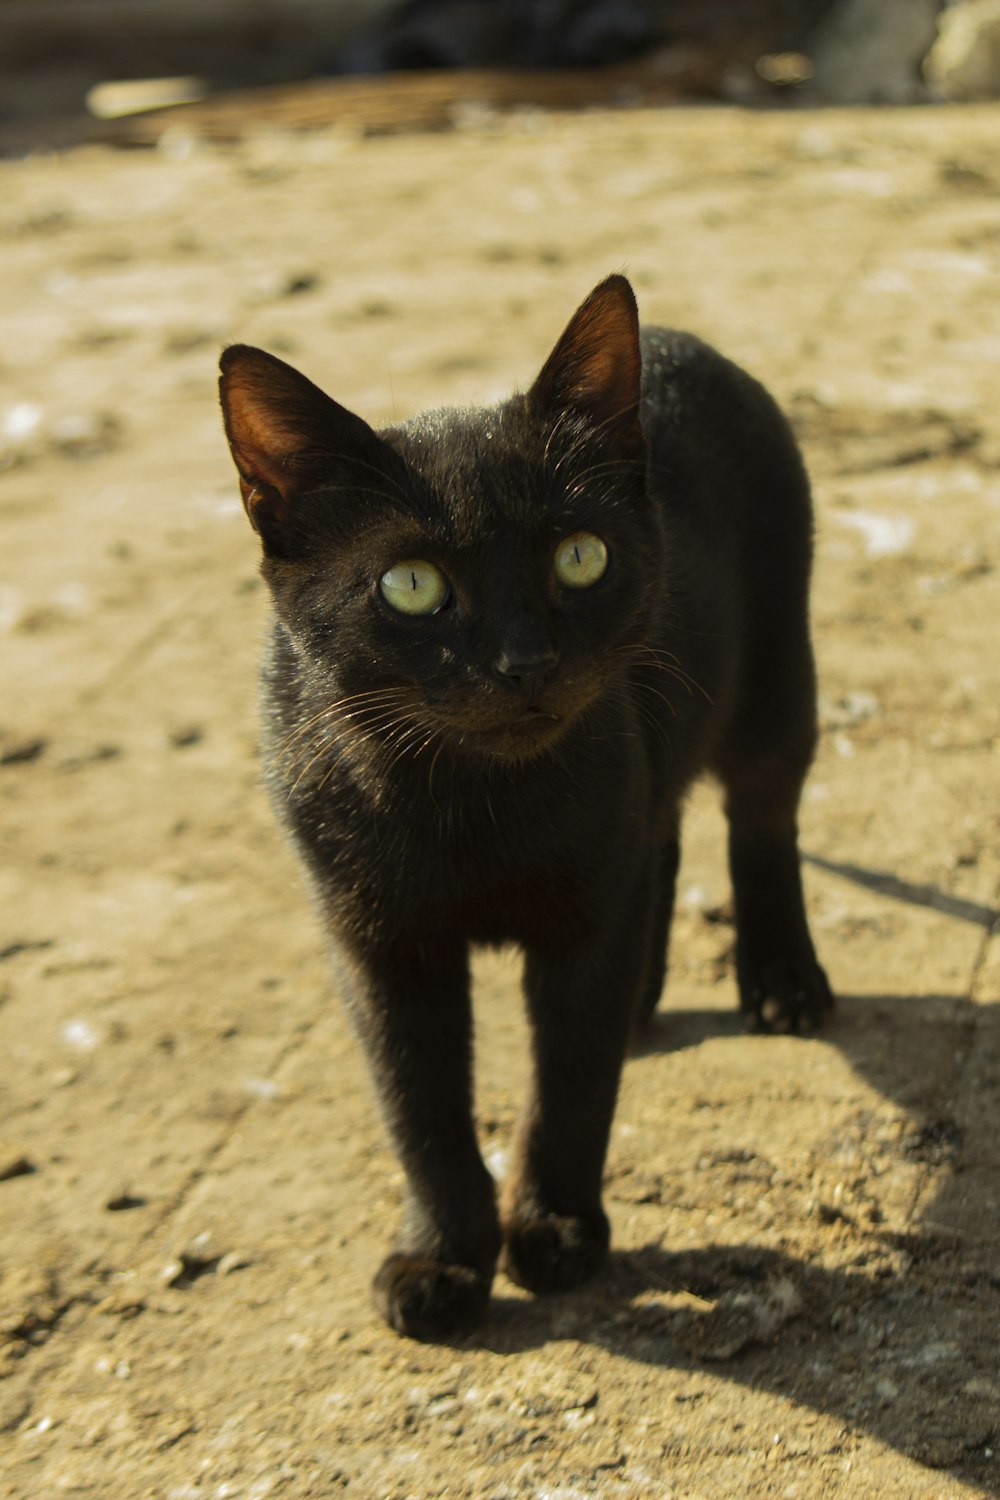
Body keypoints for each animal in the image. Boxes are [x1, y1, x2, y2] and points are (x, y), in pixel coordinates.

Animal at [220, 276, 839, 1344]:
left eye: (580, 558)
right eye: (411, 586)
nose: (525, 663)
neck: (469, 806)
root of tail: (677, 338)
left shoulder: (585, 918)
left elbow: (572, 1082)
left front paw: (555, 1232)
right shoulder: (378, 943)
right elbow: (419, 1108)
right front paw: (440, 1261)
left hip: (773, 686)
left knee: (760, 822)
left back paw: (782, 980)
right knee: (662, 836)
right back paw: (648, 999)